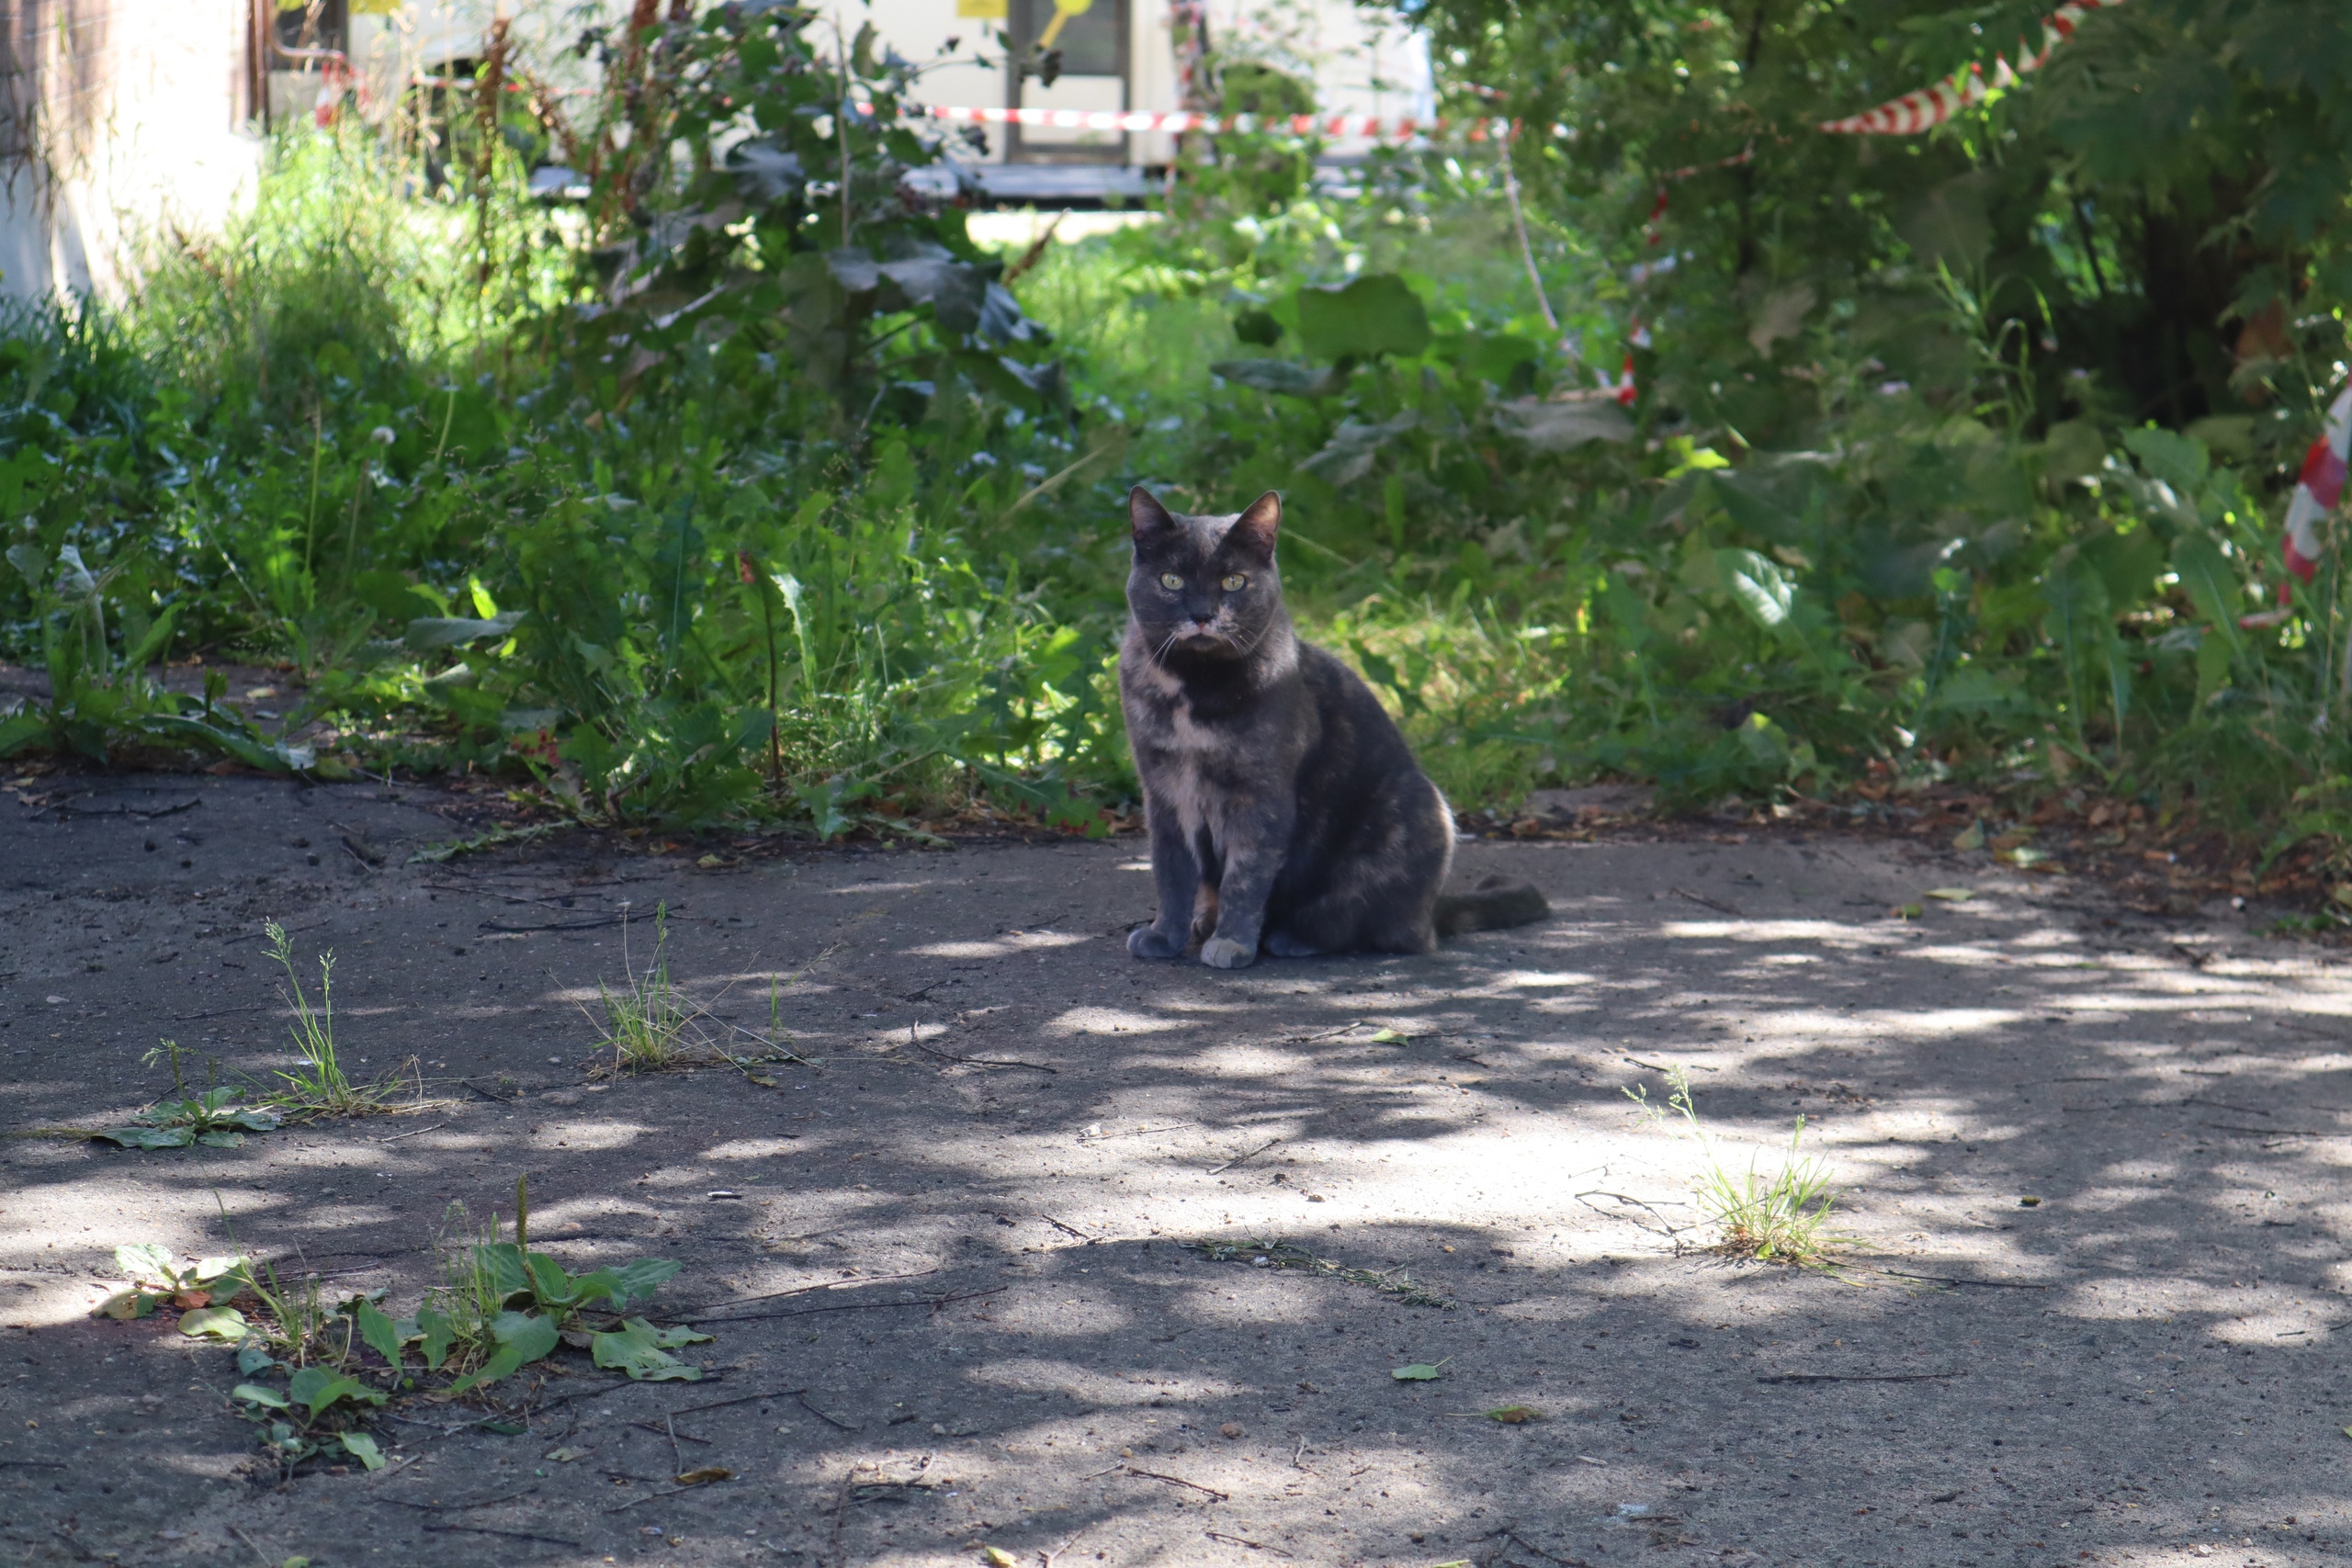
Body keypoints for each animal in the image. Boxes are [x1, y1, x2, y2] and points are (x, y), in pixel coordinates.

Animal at [1114, 481, 1543, 968]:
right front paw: (1163, 935)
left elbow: (1246, 875)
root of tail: (1432, 912)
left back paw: (1291, 936)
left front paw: (1233, 942)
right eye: (1172, 580)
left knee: (1374, 925)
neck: (1195, 688)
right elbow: (1170, 873)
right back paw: (1205, 922)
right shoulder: (1163, 791)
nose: (1203, 614)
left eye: (1233, 581)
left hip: (1413, 809)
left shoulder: (1261, 795)